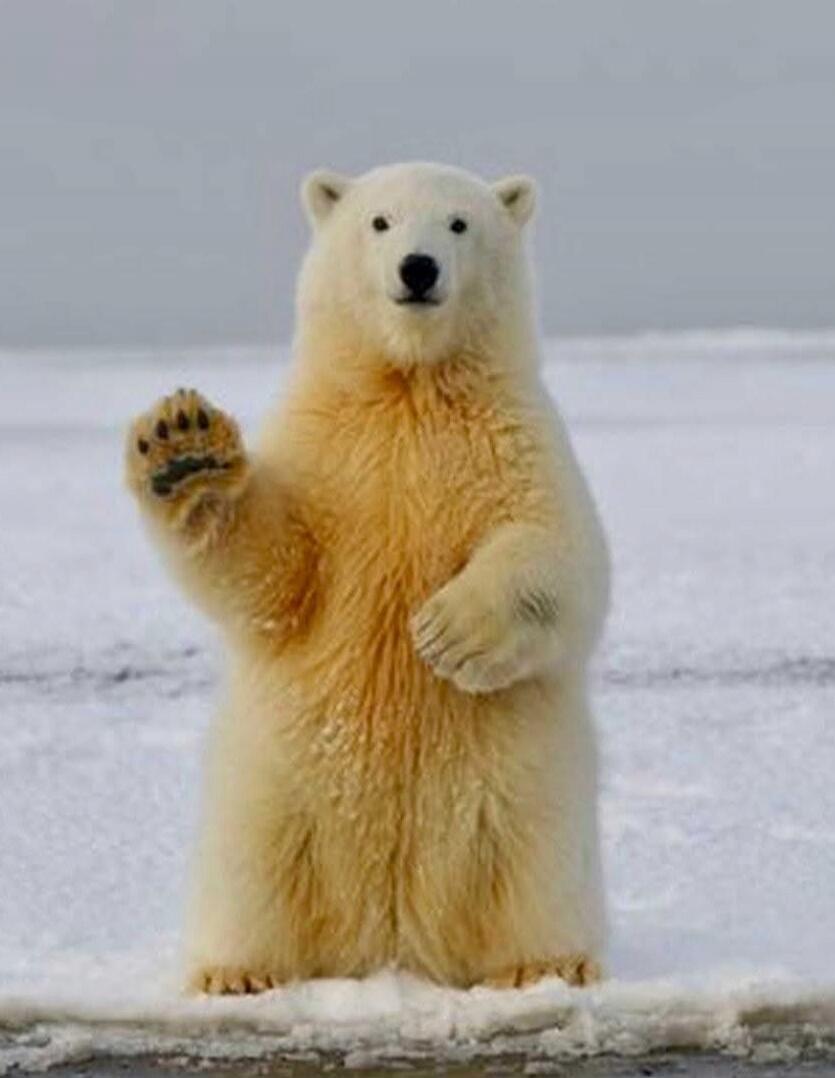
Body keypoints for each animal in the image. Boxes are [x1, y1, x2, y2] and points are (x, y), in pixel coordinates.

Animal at [125, 162, 610, 993]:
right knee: (250, 872)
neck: (409, 386)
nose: (417, 269)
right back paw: (236, 972)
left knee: (537, 870)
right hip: (272, 789)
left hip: (526, 791)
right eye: (379, 222)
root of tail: (390, 941)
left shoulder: (515, 442)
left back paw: (542, 965)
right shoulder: (328, 454)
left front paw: (447, 633)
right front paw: (184, 449)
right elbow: (274, 570)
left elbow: (560, 552)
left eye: (458, 223)